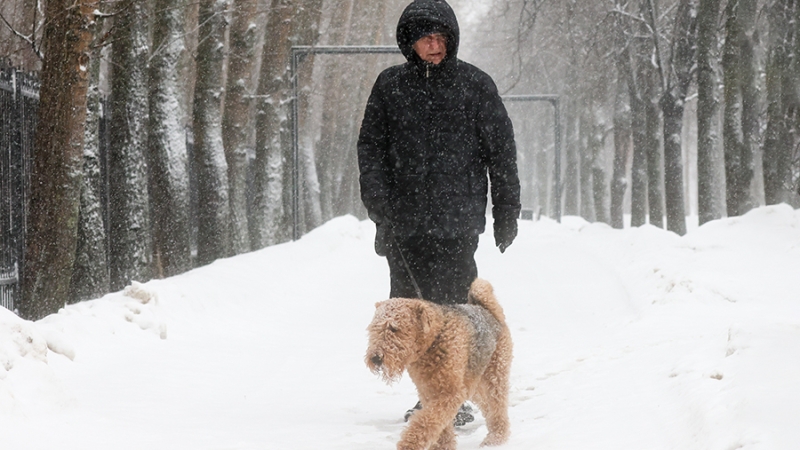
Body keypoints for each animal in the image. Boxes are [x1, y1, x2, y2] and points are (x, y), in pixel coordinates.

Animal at [368, 278, 512, 450]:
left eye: (394, 328)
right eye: (374, 328)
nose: (375, 358)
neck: (434, 340)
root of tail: (488, 311)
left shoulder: (449, 393)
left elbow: (428, 420)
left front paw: (410, 443)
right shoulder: (428, 392)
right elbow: (439, 426)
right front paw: (442, 446)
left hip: (494, 375)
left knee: (497, 408)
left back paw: (496, 439)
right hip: (474, 384)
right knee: (487, 407)